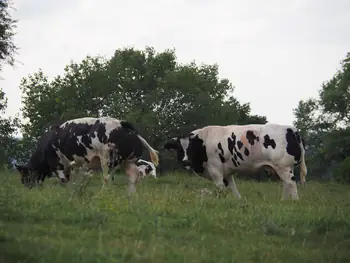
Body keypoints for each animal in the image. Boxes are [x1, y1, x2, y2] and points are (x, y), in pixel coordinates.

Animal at [15, 116, 159, 195]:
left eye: (24, 175)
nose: (27, 187)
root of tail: (123, 124)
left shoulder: (57, 164)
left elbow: (63, 181)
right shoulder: (73, 166)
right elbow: (70, 180)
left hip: (107, 159)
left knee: (107, 178)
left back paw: (102, 193)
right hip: (129, 161)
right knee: (133, 177)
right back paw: (130, 195)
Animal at [163, 123, 306, 200]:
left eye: (191, 147)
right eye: (179, 148)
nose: (186, 161)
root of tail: (291, 129)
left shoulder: (215, 169)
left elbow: (220, 187)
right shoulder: (227, 172)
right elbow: (232, 187)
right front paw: (238, 200)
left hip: (283, 166)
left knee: (291, 184)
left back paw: (295, 201)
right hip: (282, 168)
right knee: (286, 184)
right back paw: (283, 201)